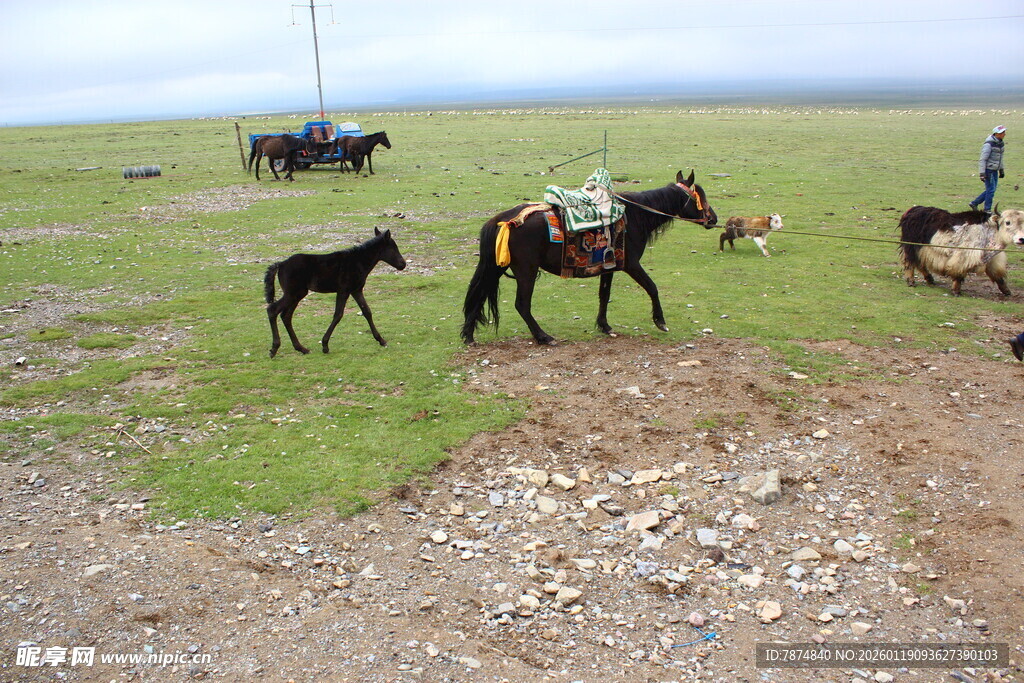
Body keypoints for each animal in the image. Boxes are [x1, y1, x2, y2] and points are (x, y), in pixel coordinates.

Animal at [264, 228, 407, 358]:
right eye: (393, 248)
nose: (403, 264)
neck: (357, 262)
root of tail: (281, 264)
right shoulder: (343, 290)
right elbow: (338, 314)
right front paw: (325, 345)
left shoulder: (356, 290)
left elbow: (367, 311)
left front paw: (381, 340)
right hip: (293, 293)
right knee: (273, 310)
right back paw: (274, 349)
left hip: (296, 295)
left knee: (286, 316)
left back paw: (301, 348)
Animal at [461, 170, 717, 345]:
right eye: (701, 197)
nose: (713, 219)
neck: (635, 217)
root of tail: (502, 219)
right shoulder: (632, 264)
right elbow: (652, 287)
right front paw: (660, 321)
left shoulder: (610, 265)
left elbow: (604, 295)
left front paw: (604, 326)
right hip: (527, 270)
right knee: (522, 304)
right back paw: (544, 337)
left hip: (497, 267)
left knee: (479, 294)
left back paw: (469, 335)